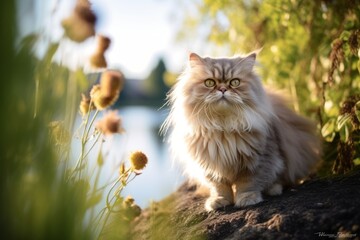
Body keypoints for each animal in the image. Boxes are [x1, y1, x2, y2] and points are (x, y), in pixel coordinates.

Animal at [162, 51, 322, 211]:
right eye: (210, 83)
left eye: (235, 82)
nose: (222, 89)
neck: (223, 127)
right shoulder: (211, 166)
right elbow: (219, 187)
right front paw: (219, 201)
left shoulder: (257, 161)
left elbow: (248, 184)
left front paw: (247, 198)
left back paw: (273, 189)